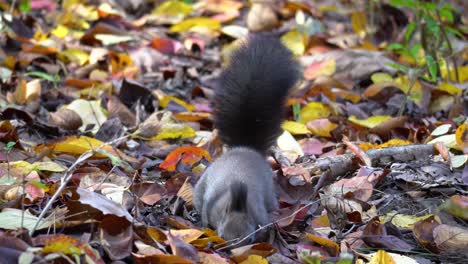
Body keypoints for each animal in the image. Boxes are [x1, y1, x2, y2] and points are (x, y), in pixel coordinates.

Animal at [193, 34, 300, 243]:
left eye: (249, 239)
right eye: (222, 234)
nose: (233, 247)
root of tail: (245, 148)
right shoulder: (210, 205)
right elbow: (205, 216)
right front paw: (203, 226)